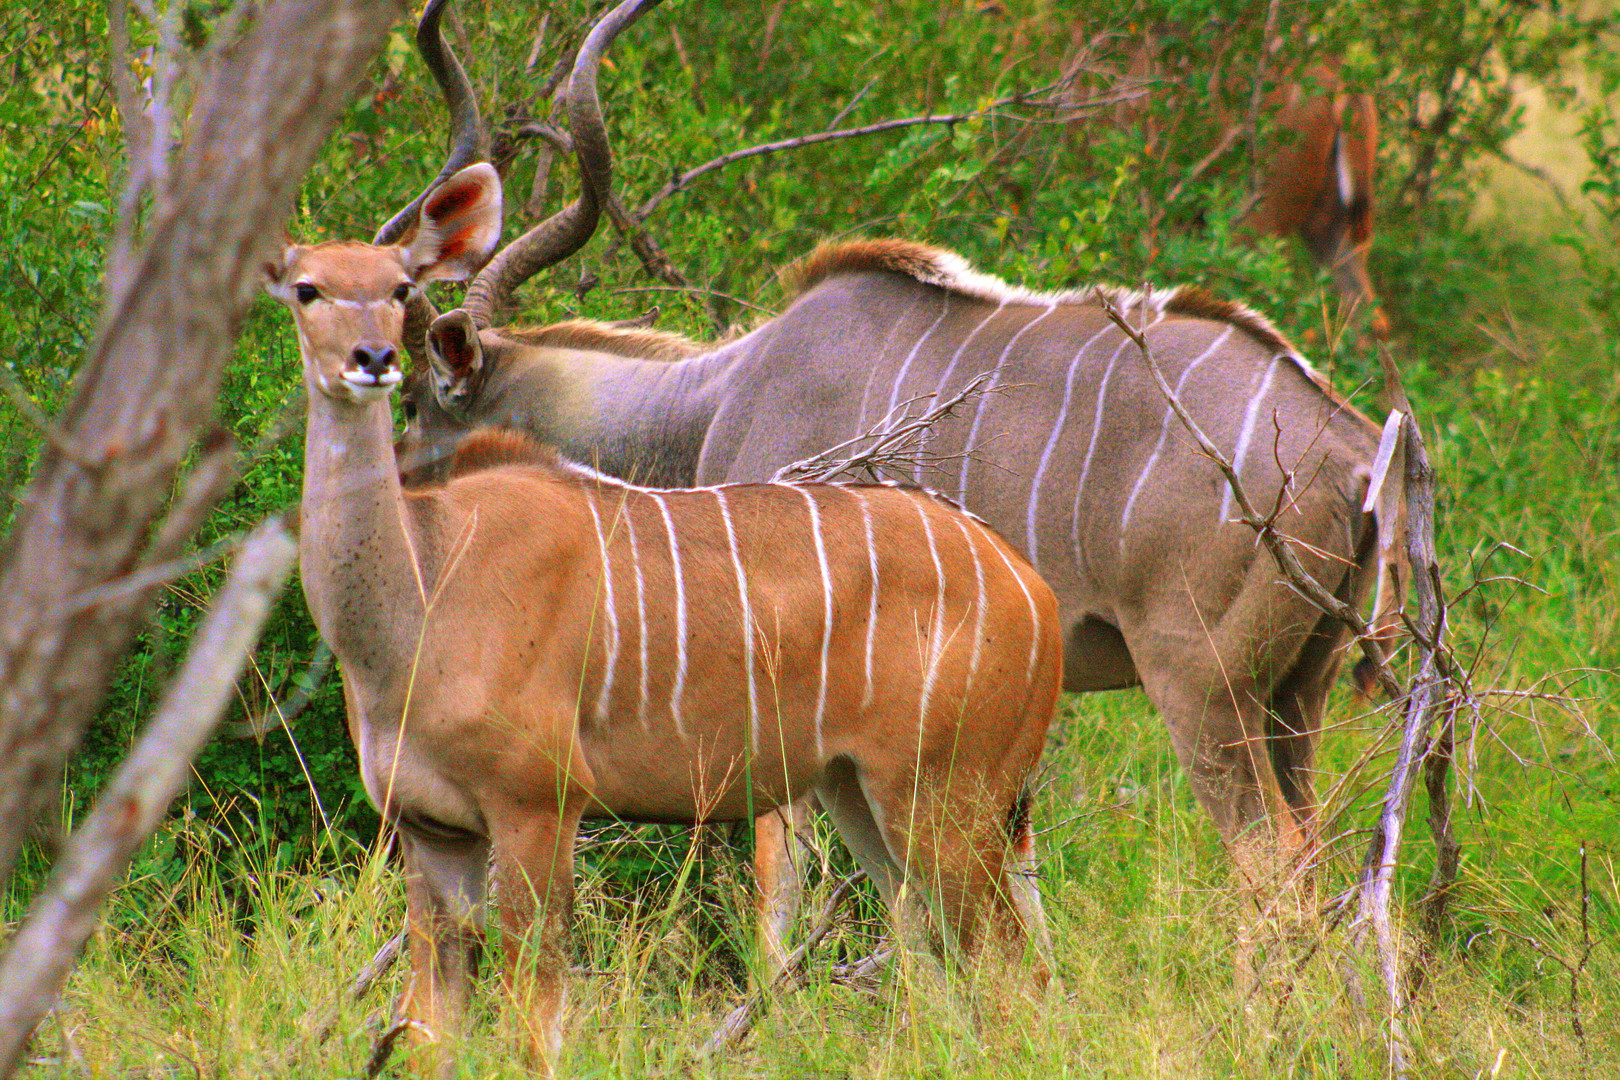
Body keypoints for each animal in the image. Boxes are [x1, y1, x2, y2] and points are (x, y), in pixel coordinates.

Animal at [270, 0, 1062, 1068]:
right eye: (307, 288)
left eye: (398, 287)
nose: (371, 360)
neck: (420, 595)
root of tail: (1032, 589)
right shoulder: (431, 835)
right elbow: (433, 1031)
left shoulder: (536, 811)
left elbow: (539, 1024)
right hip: (867, 800)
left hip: (946, 802)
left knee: (1012, 980)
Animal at [388, 0, 1406, 958]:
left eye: (416, 402)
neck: (712, 400)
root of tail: (1353, 447)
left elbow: (785, 878)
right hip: (1295, 698)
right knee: (1327, 858)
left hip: (1202, 691)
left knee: (1276, 864)